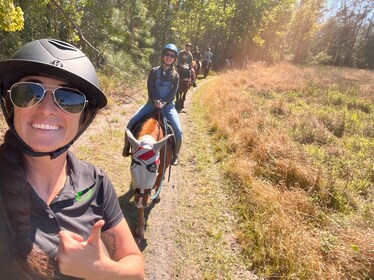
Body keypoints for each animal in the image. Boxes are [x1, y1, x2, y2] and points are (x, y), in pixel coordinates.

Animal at [125, 112, 173, 240]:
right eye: (132, 164)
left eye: (154, 168)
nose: (140, 200)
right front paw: (140, 229)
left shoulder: (162, 168)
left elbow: (158, 180)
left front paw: (156, 196)